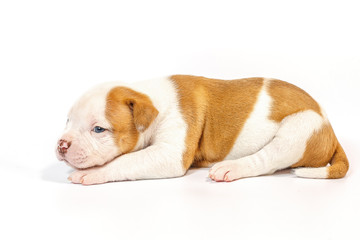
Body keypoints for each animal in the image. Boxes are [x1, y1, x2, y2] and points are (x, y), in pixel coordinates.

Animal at [55, 76, 348, 185]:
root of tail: (331, 128)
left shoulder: (169, 154)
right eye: (67, 121)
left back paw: (230, 168)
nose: (61, 145)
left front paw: (94, 172)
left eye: (99, 129)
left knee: (267, 160)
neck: (152, 99)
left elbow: (126, 160)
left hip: (299, 129)